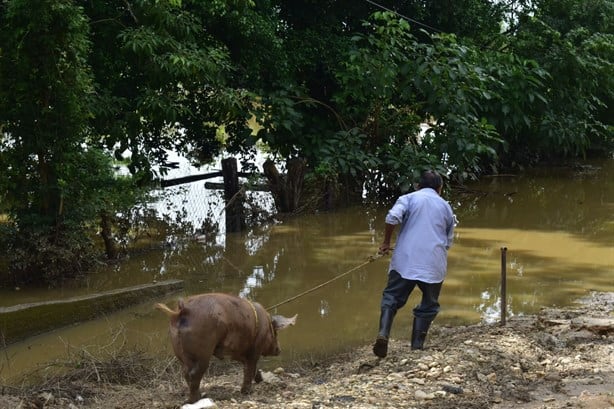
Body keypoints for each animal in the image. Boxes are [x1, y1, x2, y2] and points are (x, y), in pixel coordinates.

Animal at [155, 290, 298, 402]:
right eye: (276, 333)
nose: (279, 350)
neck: (265, 325)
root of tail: (182, 310)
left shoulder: (239, 352)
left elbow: (251, 368)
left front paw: (260, 380)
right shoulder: (254, 349)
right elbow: (250, 368)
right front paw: (247, 392)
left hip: (180, 352)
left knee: (185, 373)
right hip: (203, 352)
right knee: (194, 374)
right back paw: (195, 400)